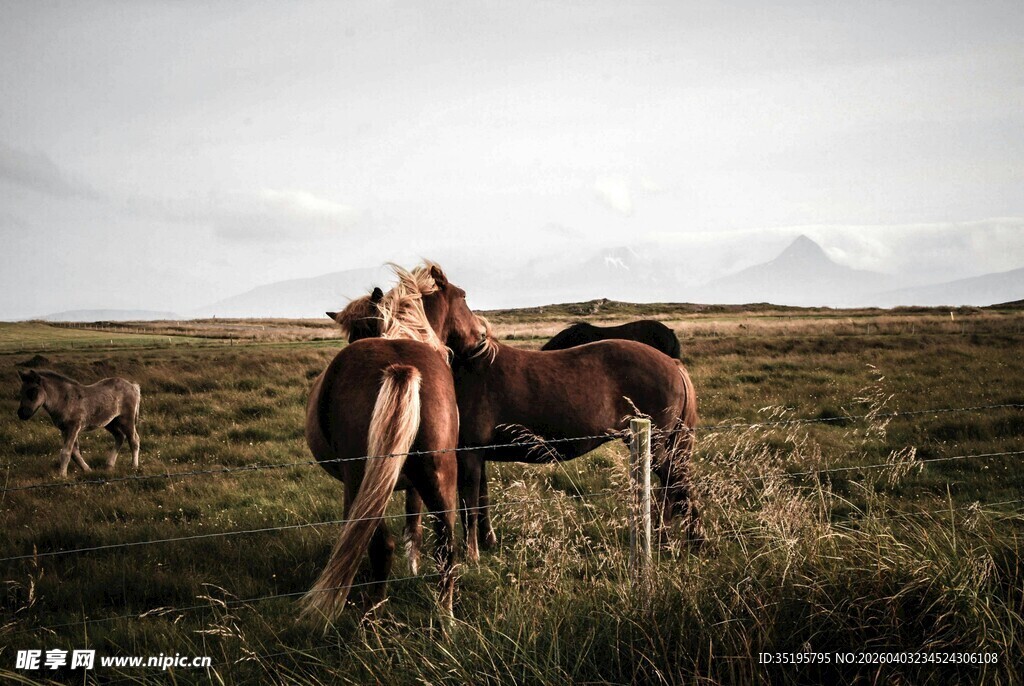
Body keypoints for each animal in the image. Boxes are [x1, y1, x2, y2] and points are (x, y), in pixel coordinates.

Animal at [301, 263, 484, 620]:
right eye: (464, 297)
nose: (481, 336)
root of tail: (401, 366)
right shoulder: (413, 484)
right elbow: (415, 527)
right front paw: (413, 566)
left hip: (361, 481)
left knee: (378, 543)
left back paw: (372, 615)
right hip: (439, 474)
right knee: (446, 544)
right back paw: (445, 618)